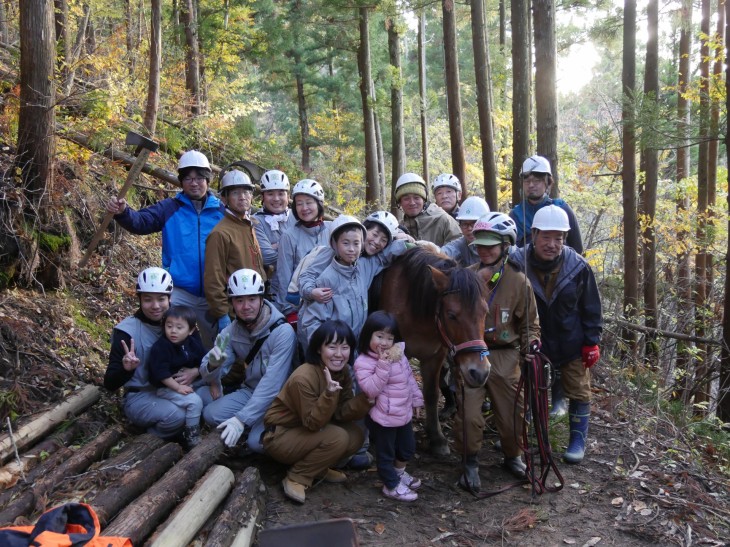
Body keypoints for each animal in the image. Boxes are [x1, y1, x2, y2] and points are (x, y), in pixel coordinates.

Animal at [376, 246, 490, 456]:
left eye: (484, 312)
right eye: (451, 315)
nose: (479, 372)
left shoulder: (435, 356)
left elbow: (431, 393)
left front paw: (436, 438)